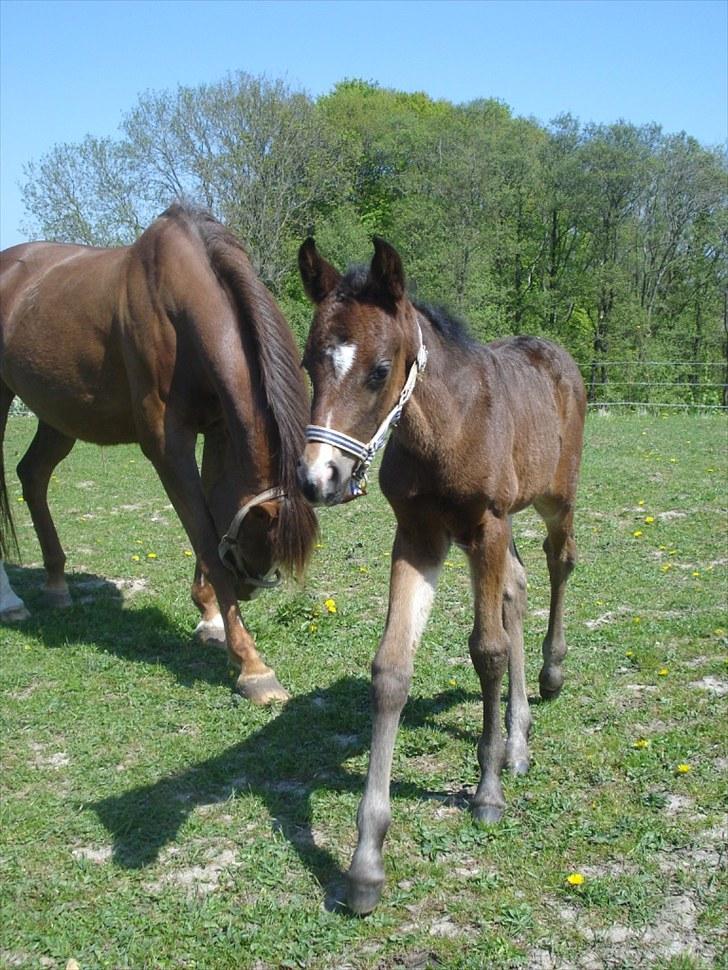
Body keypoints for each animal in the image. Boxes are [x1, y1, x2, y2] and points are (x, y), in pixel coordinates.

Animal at [296, 238, 584, 912]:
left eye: (380, 370)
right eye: (307, 362)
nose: (316, 479)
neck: (446, 426)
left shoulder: (484, 526)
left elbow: (487, 651)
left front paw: (486, 792)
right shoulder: (419, 538)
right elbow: (391, 669)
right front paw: (366, 862)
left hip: (552, 500)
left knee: (558, 563)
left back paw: (551, 676)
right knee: (518, 589)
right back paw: (519, 741)